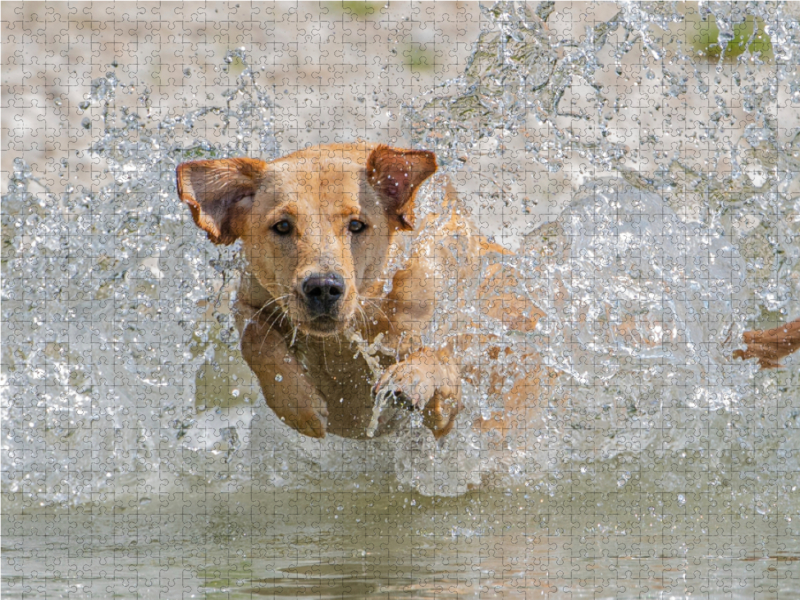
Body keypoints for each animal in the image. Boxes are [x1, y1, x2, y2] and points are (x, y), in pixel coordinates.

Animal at [177, 142, 800, 438]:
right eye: (282, 227)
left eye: (357, 225)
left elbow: (441, 363)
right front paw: (300, 405)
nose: (324, 287)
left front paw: (411, 379)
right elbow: (257, 337)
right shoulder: (253, 301)